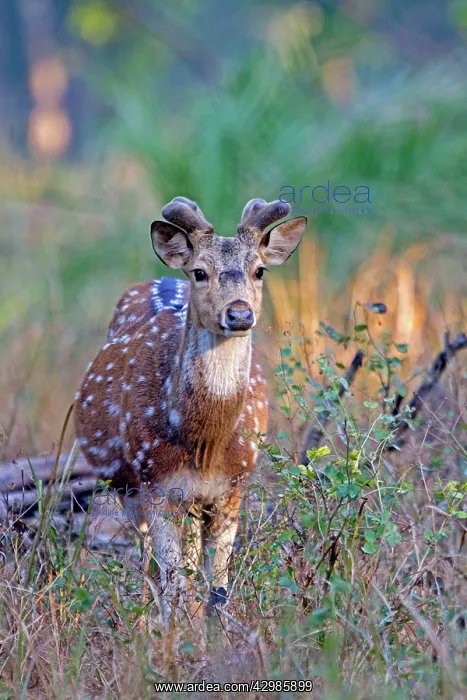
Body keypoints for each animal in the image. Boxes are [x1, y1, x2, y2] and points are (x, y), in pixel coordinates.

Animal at [75, 196, 307, 624]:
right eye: (200, 272)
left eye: (259, 270)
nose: (239, 314)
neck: (204, 444)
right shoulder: (155, 483)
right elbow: (174, 584)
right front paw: (176, 637)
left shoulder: (233, 485)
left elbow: (217, 586)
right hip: (125, 485)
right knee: (149, 562)